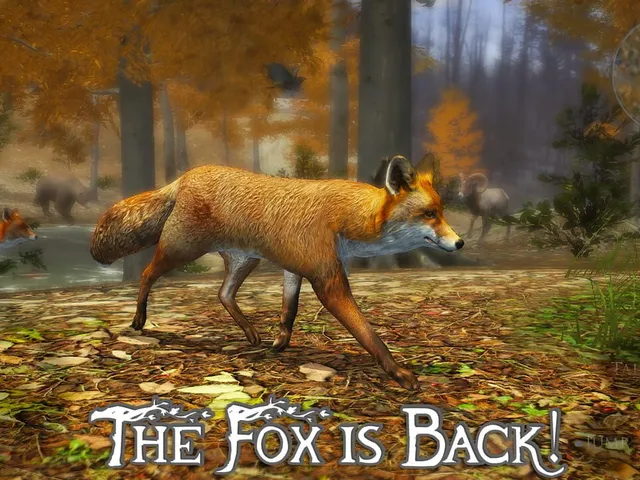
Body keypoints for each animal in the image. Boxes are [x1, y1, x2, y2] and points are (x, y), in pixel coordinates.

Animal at [90, 156, 464, 389]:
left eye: (442, 212)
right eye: (429, 214)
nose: (460, 242)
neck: (347, 218)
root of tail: (186, 176)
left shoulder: (294, 269)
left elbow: (289, 311)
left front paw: (280, 343)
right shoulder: (327, 280)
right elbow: (369, 335)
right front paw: (398, 373)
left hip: (245, 261)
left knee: (223, 294)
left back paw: (250, 333)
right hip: (181, 250)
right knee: (147, 273)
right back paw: (138, 319)